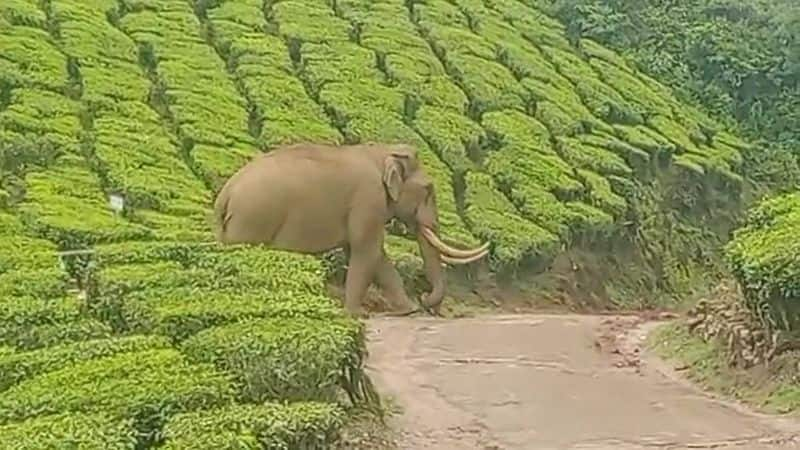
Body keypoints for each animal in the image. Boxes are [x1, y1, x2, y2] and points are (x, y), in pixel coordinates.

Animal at [211, 142, 488, 316]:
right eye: (429, 189)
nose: (425, 300)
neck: (381, 152)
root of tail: (226, 195)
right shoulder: (368, 199)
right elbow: (366, 250)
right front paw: (357, 314)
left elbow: (375, 257)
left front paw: (408, 310)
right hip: (250, 221)